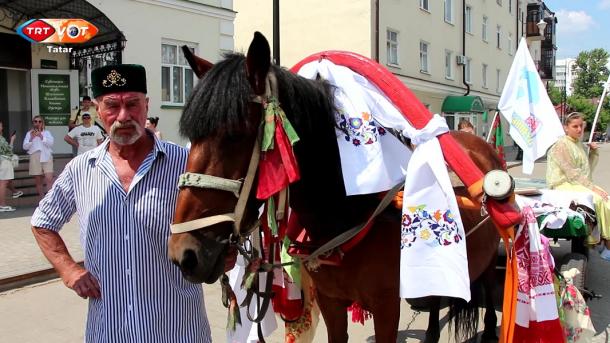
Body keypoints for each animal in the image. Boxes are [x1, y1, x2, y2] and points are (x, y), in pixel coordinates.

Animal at [167, 31, 504, 342]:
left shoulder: (386, 307)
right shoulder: (331, 302)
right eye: (192, 137)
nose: (184, 254)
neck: (351, 214)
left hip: (489, 256)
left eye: (235, 135)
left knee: (487, 285)